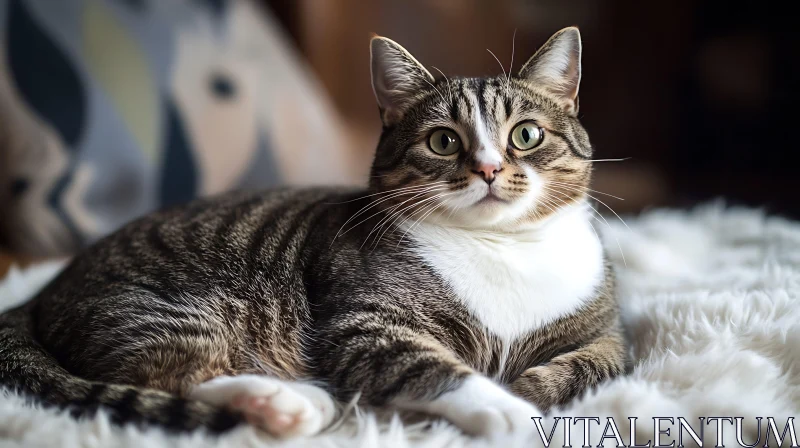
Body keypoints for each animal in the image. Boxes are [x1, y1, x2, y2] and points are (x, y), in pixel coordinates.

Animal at [0, 27, 624, 438]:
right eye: (444, 141)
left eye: (525, 135)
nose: (489, 169)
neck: (504, 248)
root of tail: (41, 293)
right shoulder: (365, 325)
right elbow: (436, 367)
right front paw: (508, 408)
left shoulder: (608, 335)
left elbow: (590, 367)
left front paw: (528, 391)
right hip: (165, 307)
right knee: (168, 375)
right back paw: (284, 402)